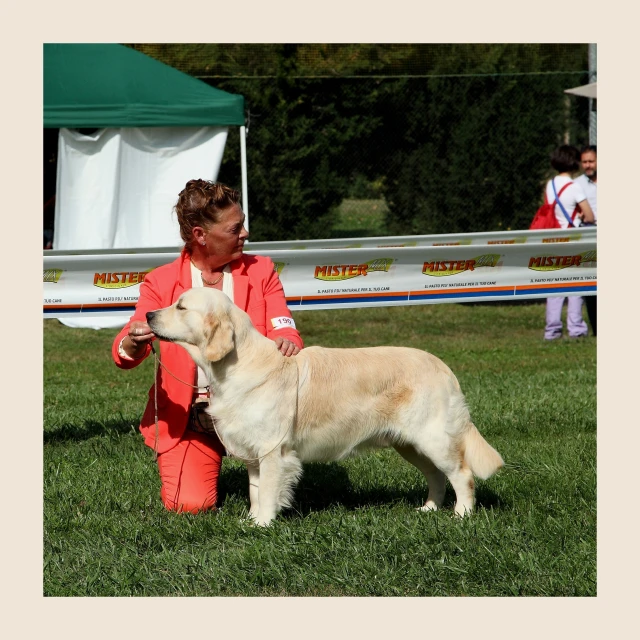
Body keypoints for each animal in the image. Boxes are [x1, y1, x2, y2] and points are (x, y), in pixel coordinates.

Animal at [148, 288, 502, 524]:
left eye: (181, 306)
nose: (148, 314)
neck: (237, 364)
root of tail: (444, 368)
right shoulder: (254, 453)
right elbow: (255, 490)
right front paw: (251, 519)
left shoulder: (273, 450)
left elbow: (268, 491)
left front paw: (262, 525)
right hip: (410, 444)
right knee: (437, 476)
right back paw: (428, 508)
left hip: (433, 438)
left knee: (462, 474)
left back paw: (462, 514)